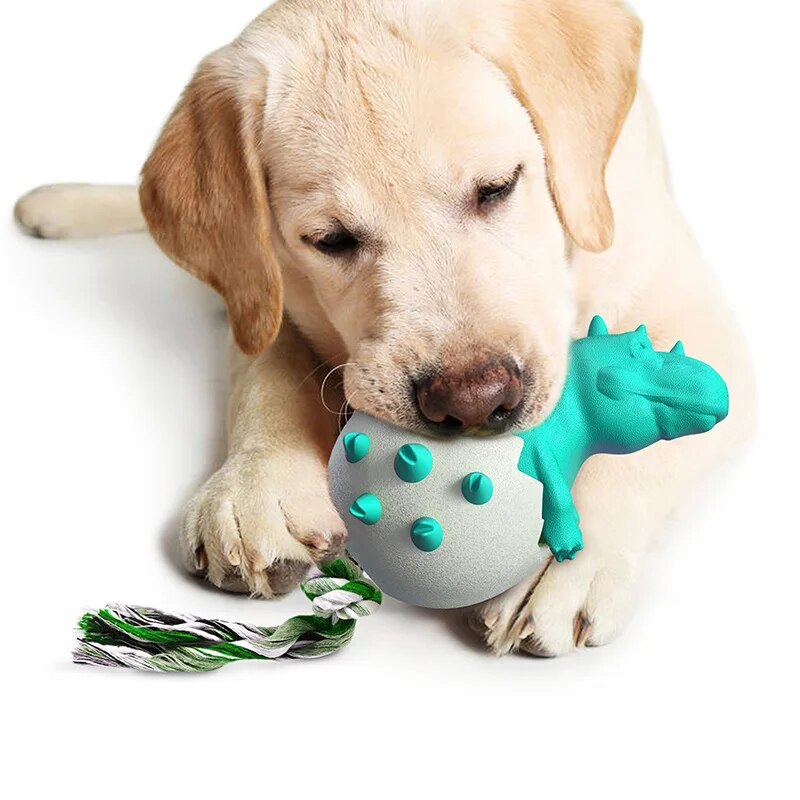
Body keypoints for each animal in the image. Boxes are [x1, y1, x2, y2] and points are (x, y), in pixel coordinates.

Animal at [14, 0, 756, 656]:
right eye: (331, 240)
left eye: (498, 187)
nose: (473, 401)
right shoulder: (264, 296)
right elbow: (266, 374)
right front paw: (256, 487)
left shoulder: (699, 324)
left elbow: (638, 437)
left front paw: (559, 556)